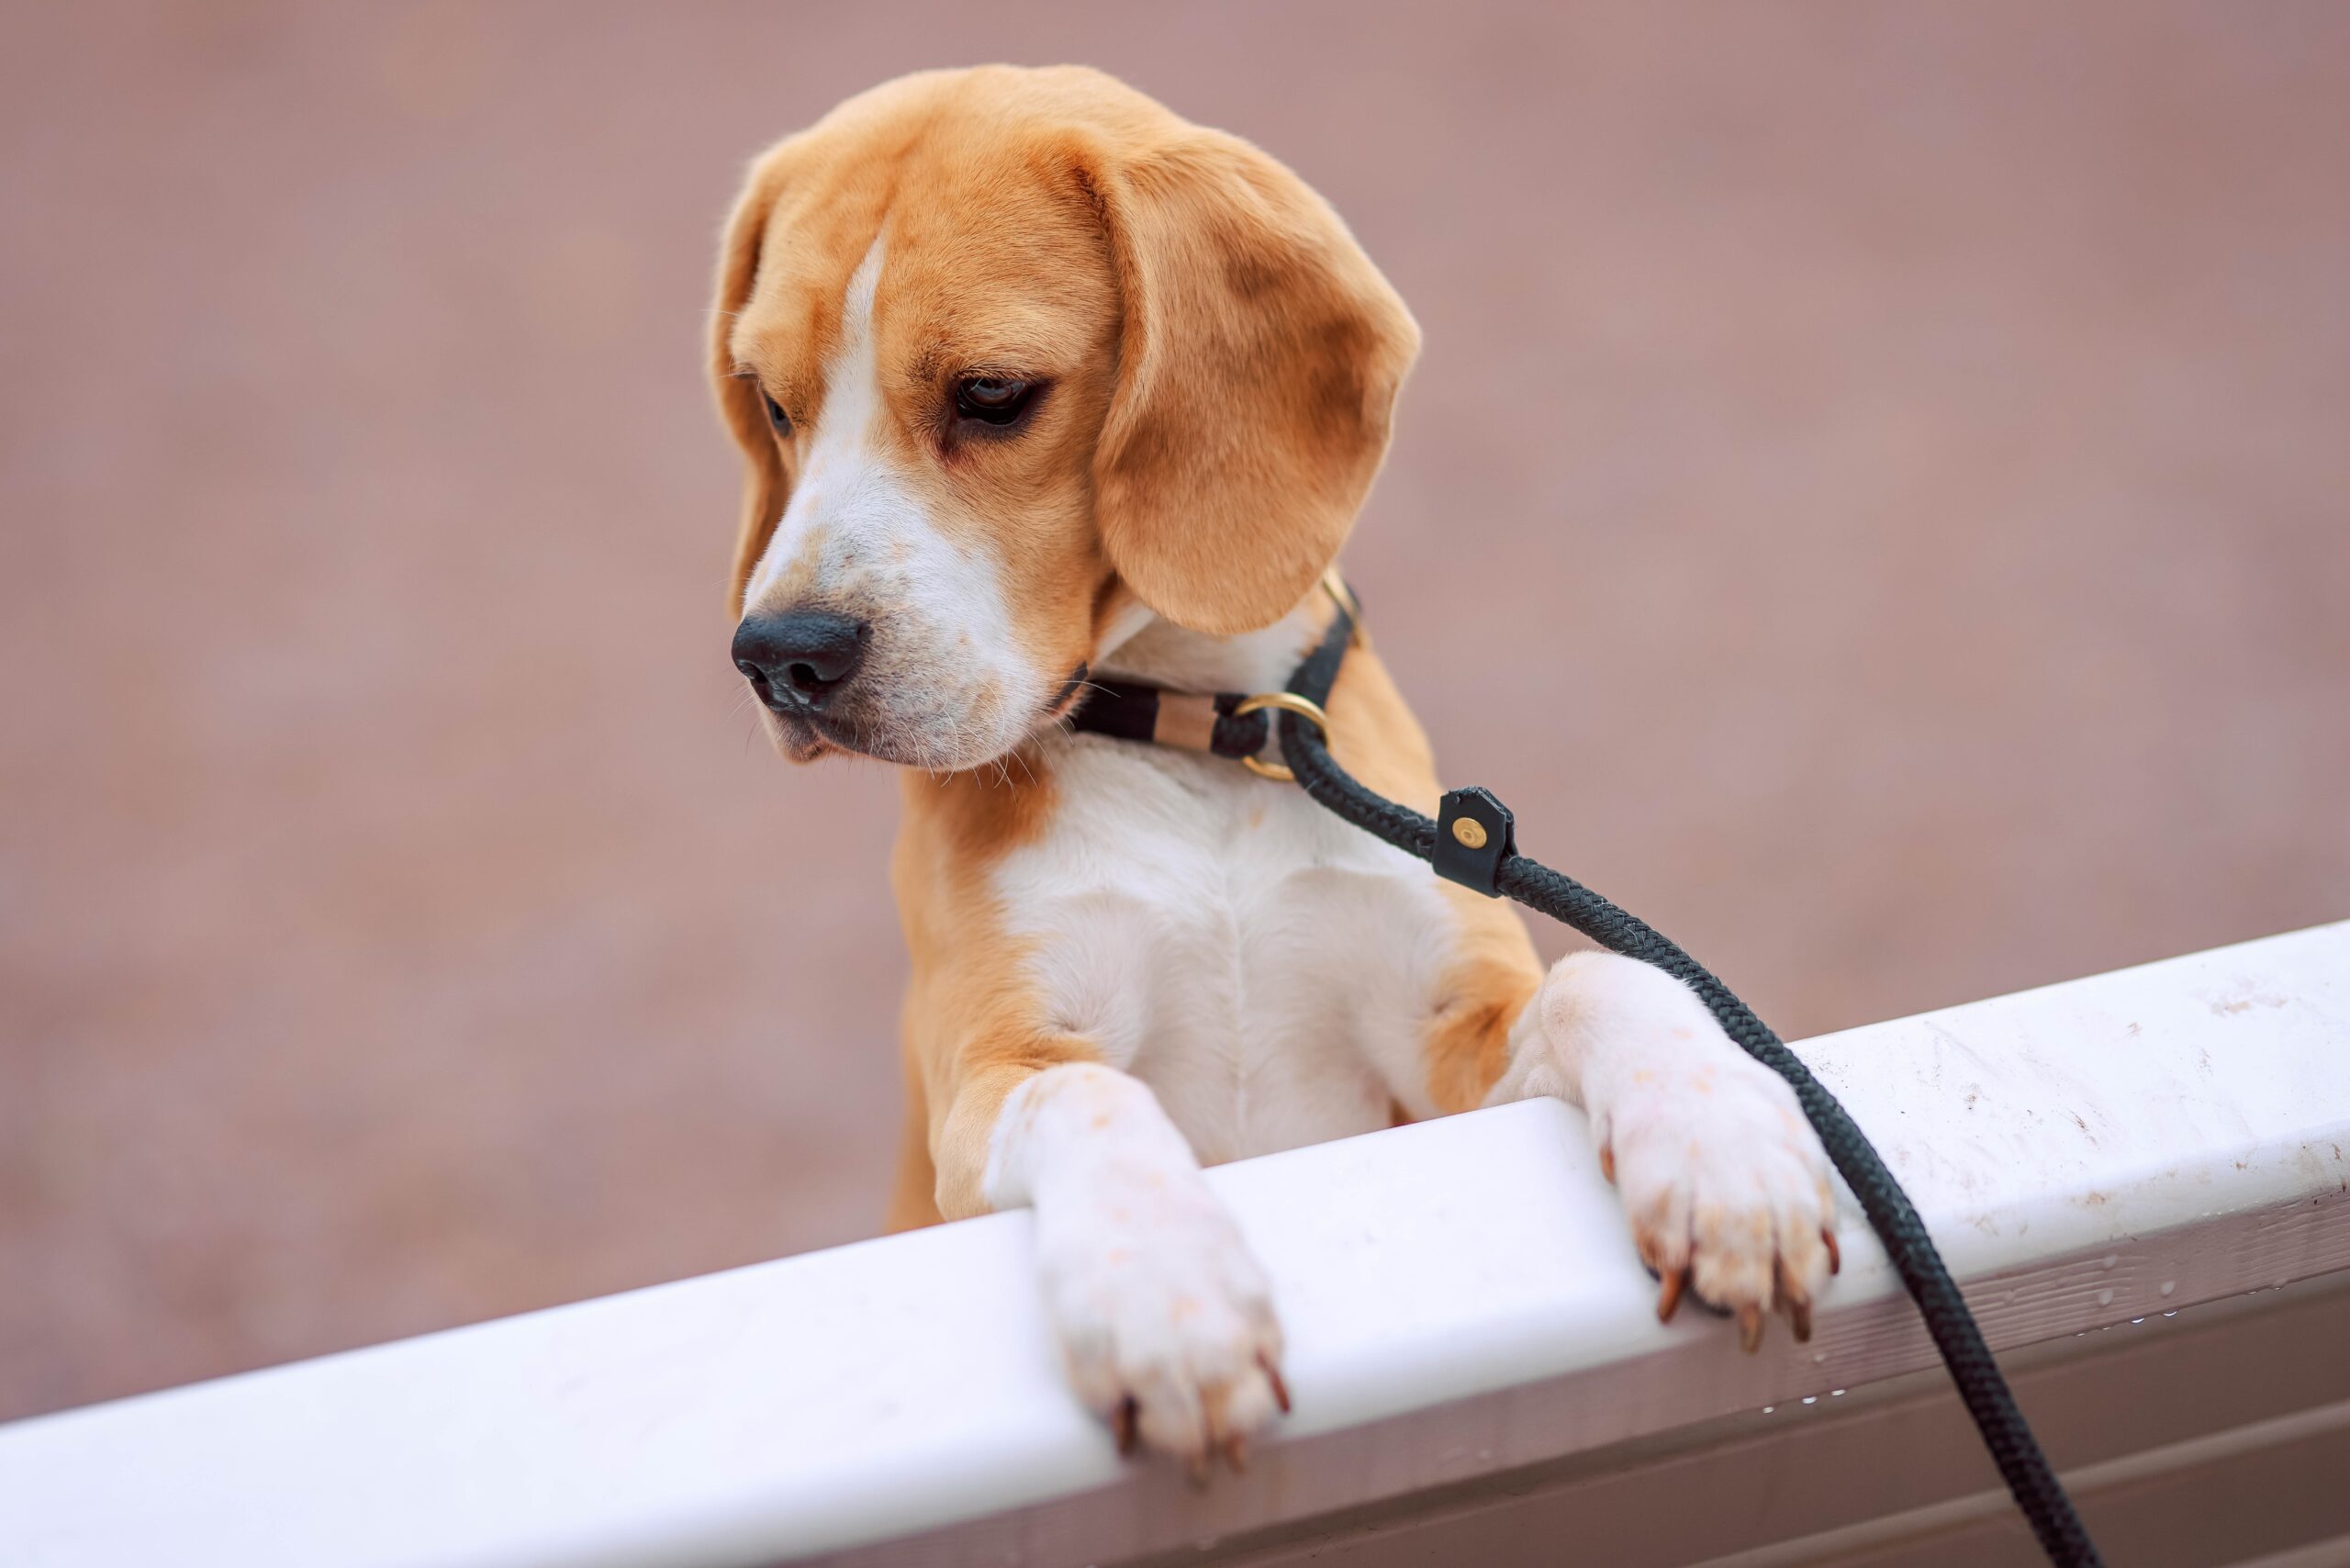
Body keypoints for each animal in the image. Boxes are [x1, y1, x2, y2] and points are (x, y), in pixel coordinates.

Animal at [714, 67, 1832, 1476]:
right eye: (771, 402)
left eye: (992, 395)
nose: (781, 656)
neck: (1205, 740)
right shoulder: (994, 1065)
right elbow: (1090, 1100)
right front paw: (1166, 1296)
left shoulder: (1449, 1051)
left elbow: (1609, 979)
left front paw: (1725, 1147)